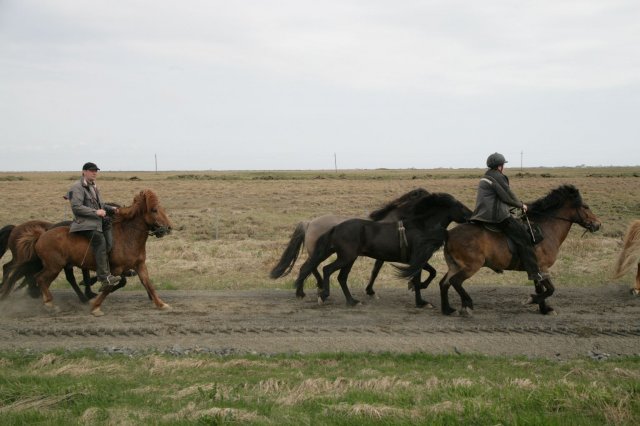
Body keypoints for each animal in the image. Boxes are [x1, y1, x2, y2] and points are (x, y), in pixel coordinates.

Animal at [3, 190, 172, 316]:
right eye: (154, 210)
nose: (168, 228)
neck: (127, 236)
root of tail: (41, 235)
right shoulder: (115, 270)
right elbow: (109, 287)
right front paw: (95, 306)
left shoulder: (140, 265)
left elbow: (148, 284)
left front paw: (161, 304)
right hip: (54, 266)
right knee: (40, 279)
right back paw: (50, 304)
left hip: (55, 266)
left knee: (39, 279)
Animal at [268, 188, 438, 298]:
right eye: (427, 198)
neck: (392, 221)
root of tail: (309, 223)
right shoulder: (382, 256)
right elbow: (375, 271)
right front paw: (370, 291)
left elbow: (375, 271)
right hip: (321, 252)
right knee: (312, 267)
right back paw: (312, 289)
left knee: (310, 267)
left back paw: (309, 289)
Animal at [296, 192, 470, 306]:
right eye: (460, 206)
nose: (472, 216)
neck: (421, 227)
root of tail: (336, 227)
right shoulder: (416, 259)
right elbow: (417, 276)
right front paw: (421, 301)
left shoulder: (415, 259)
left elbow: (431, 272)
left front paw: (417, 288)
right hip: (345, 257)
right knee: (326, 270)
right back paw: (324, 294)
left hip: (337, 255)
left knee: (330, 274)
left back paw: (349, 300)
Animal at [432, 186, 604, 316]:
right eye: (586, 207)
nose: (598, 224)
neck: (546, 229)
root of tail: (449, 233)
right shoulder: (542, 267)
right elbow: (550, 289)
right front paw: (532, 300)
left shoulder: (536, 270)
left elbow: (540, 288)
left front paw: (544, 309)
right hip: (470, 266)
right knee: (455, 282)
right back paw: (466, 306)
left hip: (455, 266)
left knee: (444, 283)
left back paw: (447, 309)